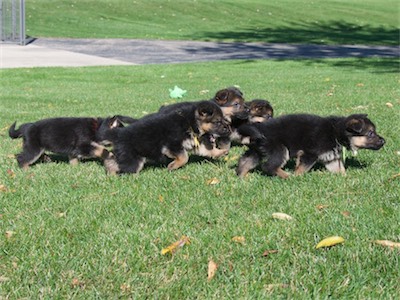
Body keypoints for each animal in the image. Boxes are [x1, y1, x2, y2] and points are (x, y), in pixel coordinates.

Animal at [238, 113, 384, 177]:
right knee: (269, 166)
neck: (336, 132)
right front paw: (297, 177)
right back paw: (287, 176)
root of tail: (260, 128)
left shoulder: (331, 158)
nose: (384, 141)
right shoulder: (309, 154)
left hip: (257, 150)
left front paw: (345, 178)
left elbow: (340, 169)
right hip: (279, 150)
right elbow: (302, 169)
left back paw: (242, 177)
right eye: (371, 133)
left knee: (245, 161)